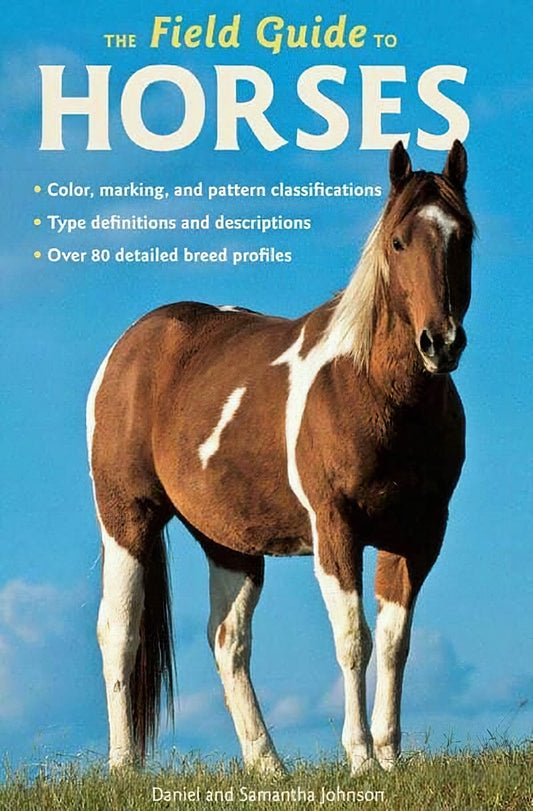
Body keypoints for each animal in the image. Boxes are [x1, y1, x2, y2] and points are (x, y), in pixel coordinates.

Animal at [87, 140, 474, 774]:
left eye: (461, 236)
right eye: (398, 241)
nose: (440, 343)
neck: (370, 389)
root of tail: (130, 346)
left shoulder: (418, 534)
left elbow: (396, 643)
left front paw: (390, 762)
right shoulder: (336, 527)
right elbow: (355, 639)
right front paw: (361, 759)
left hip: (229, 542)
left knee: (227, 642)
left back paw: (267, 765)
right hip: (126, 518)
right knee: (120, 631)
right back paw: (124, 768)